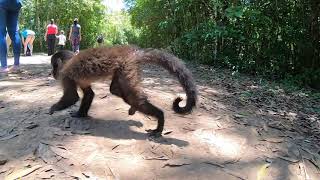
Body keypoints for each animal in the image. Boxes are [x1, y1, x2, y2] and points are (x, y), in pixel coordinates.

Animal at [49, 45, 198, 136]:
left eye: (54, 66)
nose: (53, 73)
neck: (69, 60)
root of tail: (133, 53)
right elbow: (89, 94)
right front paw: (81, 114)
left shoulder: (66, 74)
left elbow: (72, 97)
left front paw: (52, 109)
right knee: (116, 90)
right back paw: (134, 107)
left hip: (126, 66)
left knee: (129, 95)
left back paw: (160, 119)